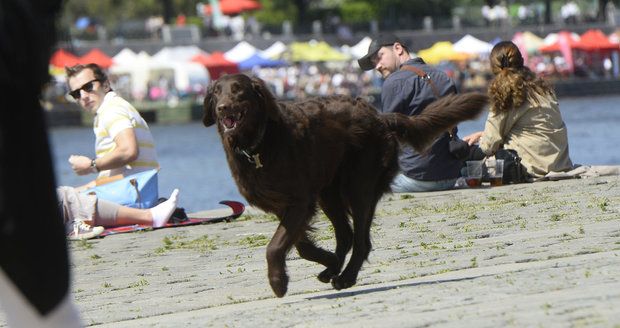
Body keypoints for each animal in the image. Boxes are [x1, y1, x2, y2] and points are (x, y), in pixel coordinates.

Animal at [203, 74, 490, 298]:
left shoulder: (300, 201)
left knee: (361, 241)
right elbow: (300, 245)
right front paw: (326, 259)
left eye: (238, 90)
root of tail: (379, 116)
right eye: (216, 93)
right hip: (329, 193)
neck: (259, 144)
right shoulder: (287, 205)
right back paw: (332, 269)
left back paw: (346, 277)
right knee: (346, 235)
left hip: (358, 187)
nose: (222, 108)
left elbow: (276, 246)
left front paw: (279, 282)